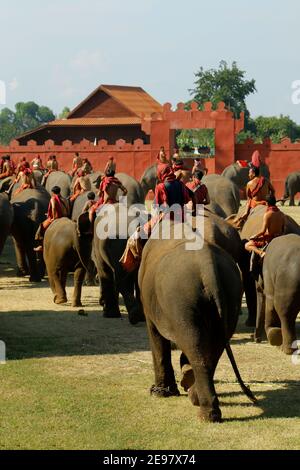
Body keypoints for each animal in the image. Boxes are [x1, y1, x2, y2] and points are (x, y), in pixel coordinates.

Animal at [137, 233, 254, 424]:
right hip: (231, 296)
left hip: (182, 300)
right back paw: (196, 395)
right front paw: (183, 375)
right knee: (212, 348)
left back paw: (204, 414)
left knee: (196, 346)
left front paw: (159, 393)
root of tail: (208, 266)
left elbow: (155, 335)